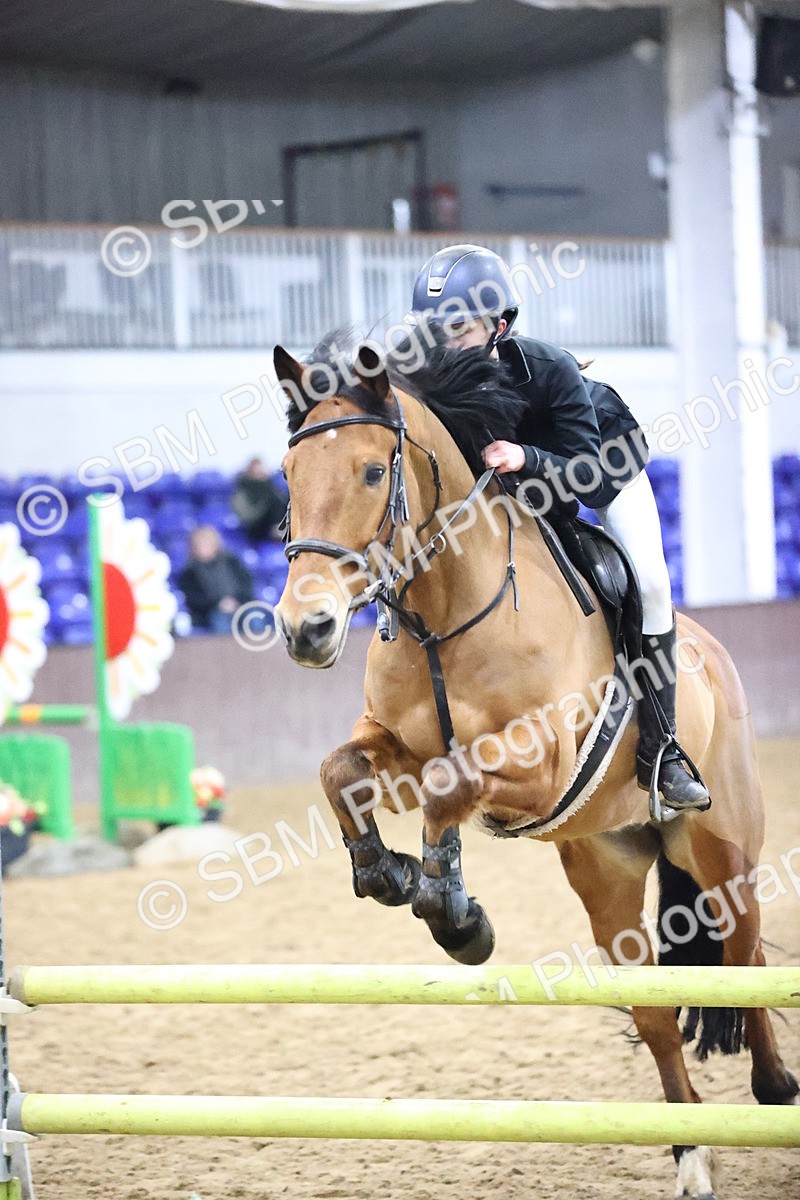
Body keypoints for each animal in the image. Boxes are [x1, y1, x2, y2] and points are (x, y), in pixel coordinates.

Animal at [272, 332, 798, 1200]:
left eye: (373, 473)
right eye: (287, 475)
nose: (304, 630)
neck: (446, 611)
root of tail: (714, 653)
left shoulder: (540, 764)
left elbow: (451, 787)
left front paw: (451, 909)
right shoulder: (398, 745)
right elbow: (340, 771)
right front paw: (395, 877)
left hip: (722, 851)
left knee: (743, 956)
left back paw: (776, 1089)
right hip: (608, 870)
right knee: (656, 1011)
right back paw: (691, 1154)